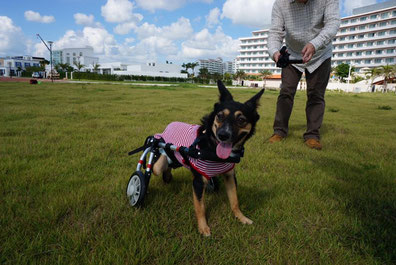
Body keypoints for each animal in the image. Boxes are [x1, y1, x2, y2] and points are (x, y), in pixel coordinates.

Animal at [154, 80, 262, 235]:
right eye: (220, 116)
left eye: (241, 119)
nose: (223, 135)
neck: (212, 147)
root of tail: (170, 124)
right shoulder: (198, 182)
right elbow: (200, 207)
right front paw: (203, 227)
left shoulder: (230, 176)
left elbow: (234, 201)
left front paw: (241, 218)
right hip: (161, 156)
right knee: (160, 162)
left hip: (176, 158)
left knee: (170, 165)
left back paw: (168, 176)